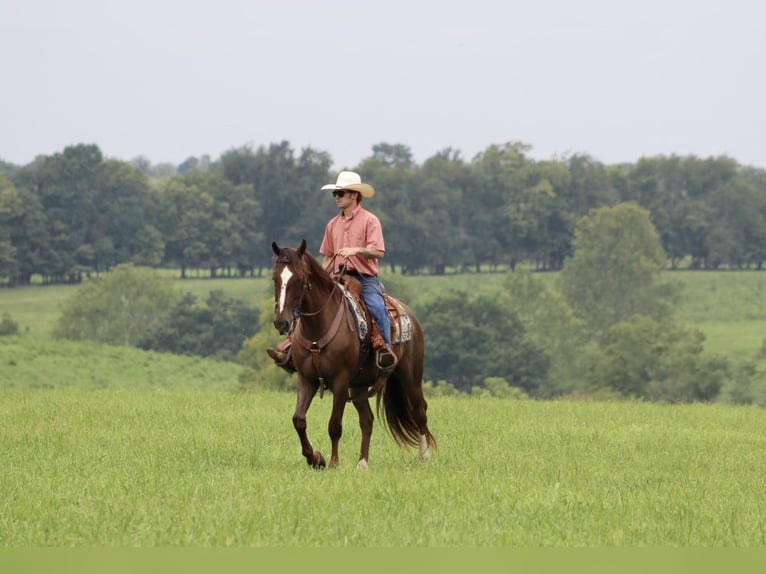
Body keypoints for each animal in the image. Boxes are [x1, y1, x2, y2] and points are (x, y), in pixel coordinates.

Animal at [272, 241, 436, 470]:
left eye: (299, 279)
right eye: (275, 278)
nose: (281, 322)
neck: (317, 328)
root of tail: (410, 314)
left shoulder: (340, 381)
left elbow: (334, 425)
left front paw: (333, 463)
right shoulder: (306, 379)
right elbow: (299, 420)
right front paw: (315, 458)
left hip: (410, 377)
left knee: (420, 409)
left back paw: (424, 455)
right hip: (359, 386)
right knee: (367, 420)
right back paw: (362, 462)